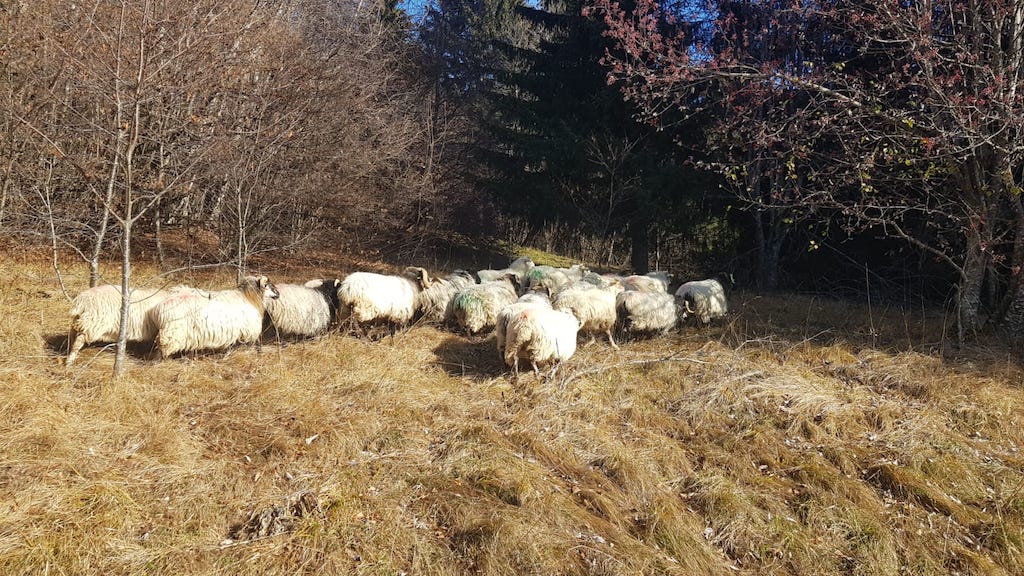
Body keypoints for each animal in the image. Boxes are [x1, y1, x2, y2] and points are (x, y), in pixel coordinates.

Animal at [66, 280, 201, 362]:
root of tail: (82, 300)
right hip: (93, 323)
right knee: (78, 341)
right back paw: (70, 361)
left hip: (81, 321)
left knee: (73, 335)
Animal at [151, 274, 280, 358]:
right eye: (268, 285)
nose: (278, 294)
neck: (249, 299)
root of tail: (158, 309)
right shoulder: (246, 331)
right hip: (172, 334)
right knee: (163, 347)